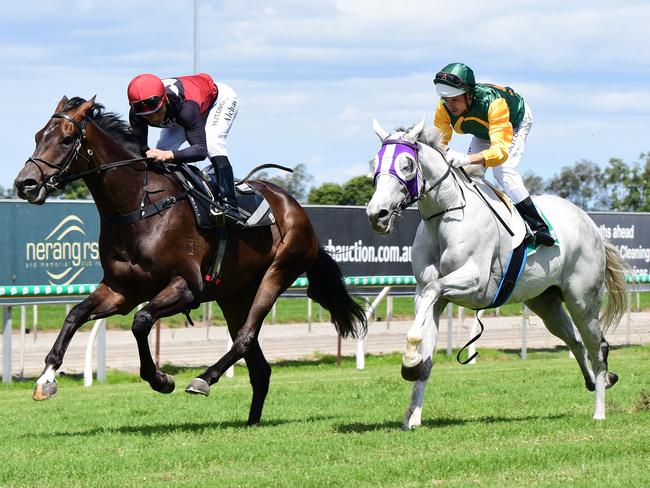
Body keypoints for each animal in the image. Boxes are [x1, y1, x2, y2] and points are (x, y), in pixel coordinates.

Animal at [13, 97, 364, 426]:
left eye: (66, 139)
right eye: (38, 136)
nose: (25, 183)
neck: (140, 208)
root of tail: (295, 207)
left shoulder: (187, 288)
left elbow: (141, 321)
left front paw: (160, 379)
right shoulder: (120, 291)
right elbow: (75, 315)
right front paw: (46, 378)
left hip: (277, 273)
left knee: (245, 337)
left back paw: (204, 379)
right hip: (234, 295)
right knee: (258, 365)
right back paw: (251, 421)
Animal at [368, 120, 624, 428]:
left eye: (406, 165)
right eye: (373, 164)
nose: (377, 214)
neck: (446, 216)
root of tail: (589, 222)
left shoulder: (476, 284)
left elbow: (432, 296)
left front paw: (409, 363)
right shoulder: (427, 295)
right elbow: (426, 352)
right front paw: (413, 410)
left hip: (582, 300)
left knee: (597, 346)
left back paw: (599, 409)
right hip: (545, 302)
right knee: (575, 340)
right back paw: (598, 381)